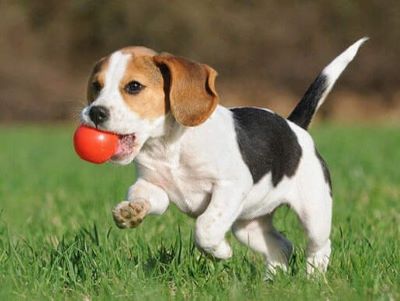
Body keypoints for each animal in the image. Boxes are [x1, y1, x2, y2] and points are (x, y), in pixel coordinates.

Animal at [79, 38, 368, 274]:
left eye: (134, 86)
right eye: (96, 86)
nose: (95, 112)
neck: (169, 146)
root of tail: (294, 126)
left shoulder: (230, 186)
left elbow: (205, 227)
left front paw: (221, 252)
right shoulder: (152, 185)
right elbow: (144, 196)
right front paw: (132, 211)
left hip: (314, 212)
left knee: (319, 246)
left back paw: (314, 278)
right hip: (248, 226)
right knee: (282, 247)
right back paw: (271, 281)